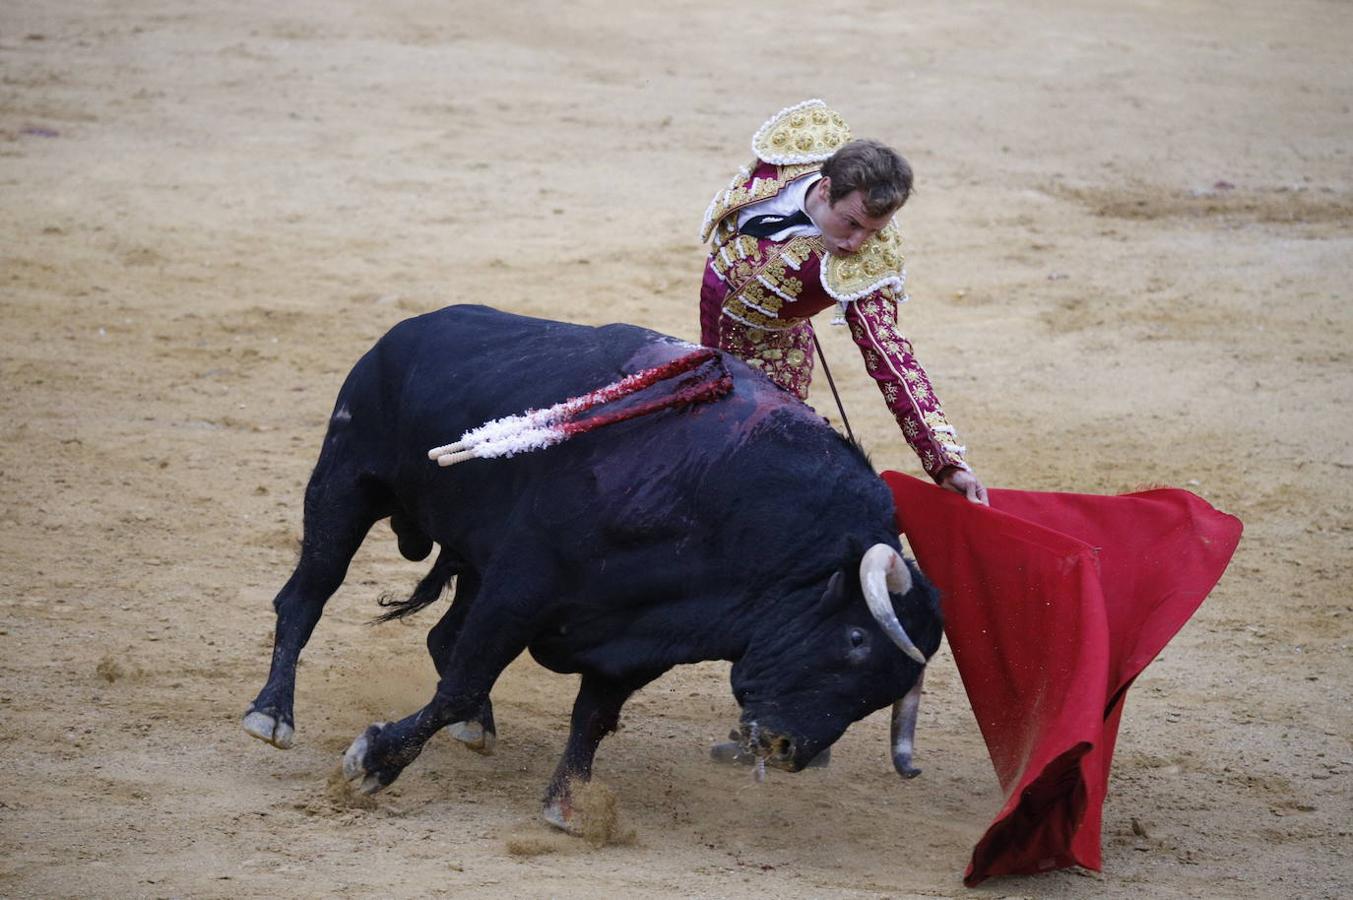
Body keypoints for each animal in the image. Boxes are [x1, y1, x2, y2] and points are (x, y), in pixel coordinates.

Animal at [243, 303, 941, 828]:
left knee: (441, 635)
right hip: (345, 483)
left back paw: (478, 728)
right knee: (306, 597)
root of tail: (409, 329)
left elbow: (593, 716)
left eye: (887, 692)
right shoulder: (520, 591)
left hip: (471, 555)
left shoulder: (636, 638)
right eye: (855, 639)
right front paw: (372, 762)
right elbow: (462, 682)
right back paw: (272, 716)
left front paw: (568, 806)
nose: (787, 748)